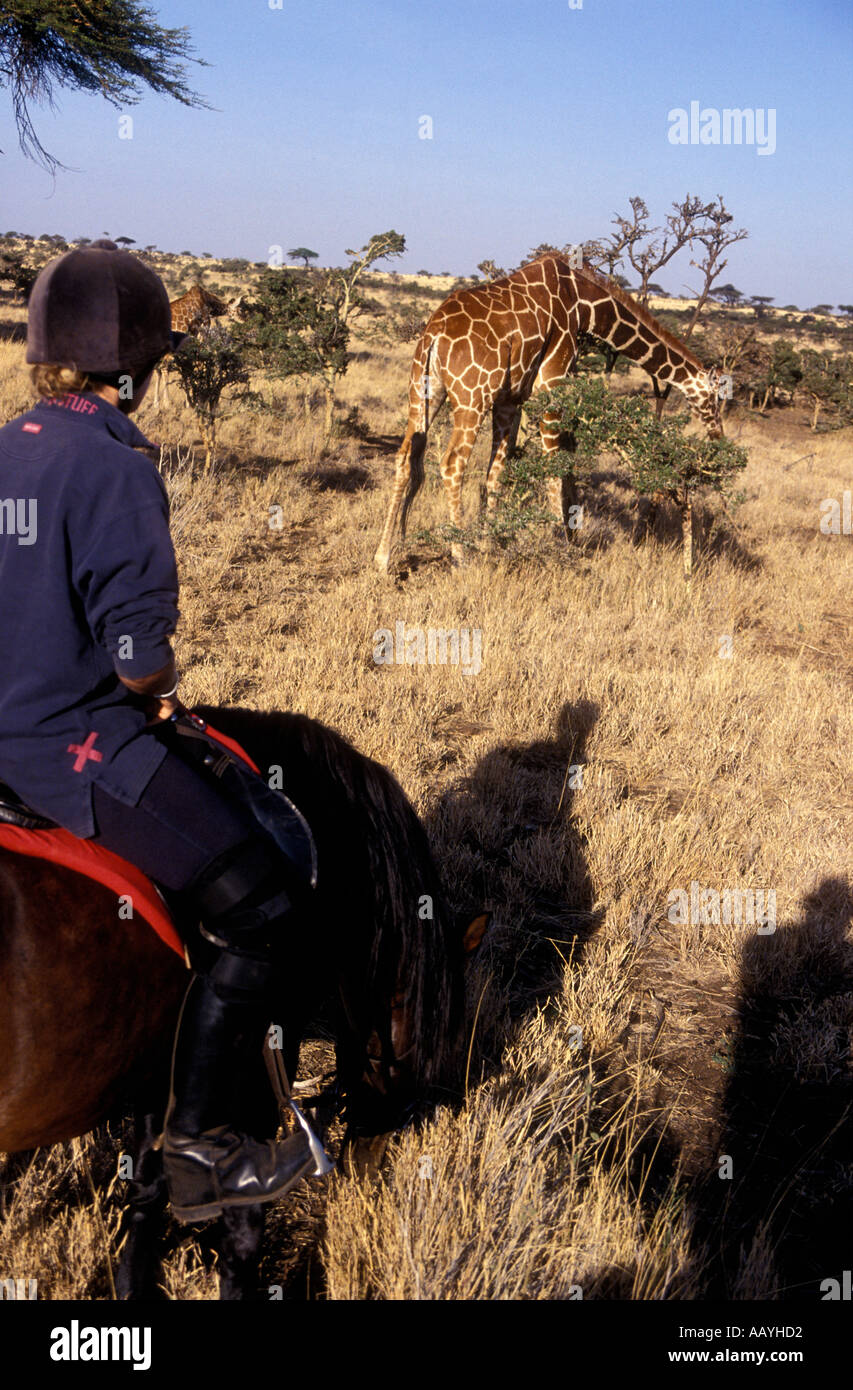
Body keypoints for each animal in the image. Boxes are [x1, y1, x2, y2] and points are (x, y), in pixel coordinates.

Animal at [0, 711, 489, 1295]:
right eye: (417, 1055)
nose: (366, 1173)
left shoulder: (159, 1069)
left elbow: (146, 1189)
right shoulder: (252, 1065)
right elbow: (243, 1225)